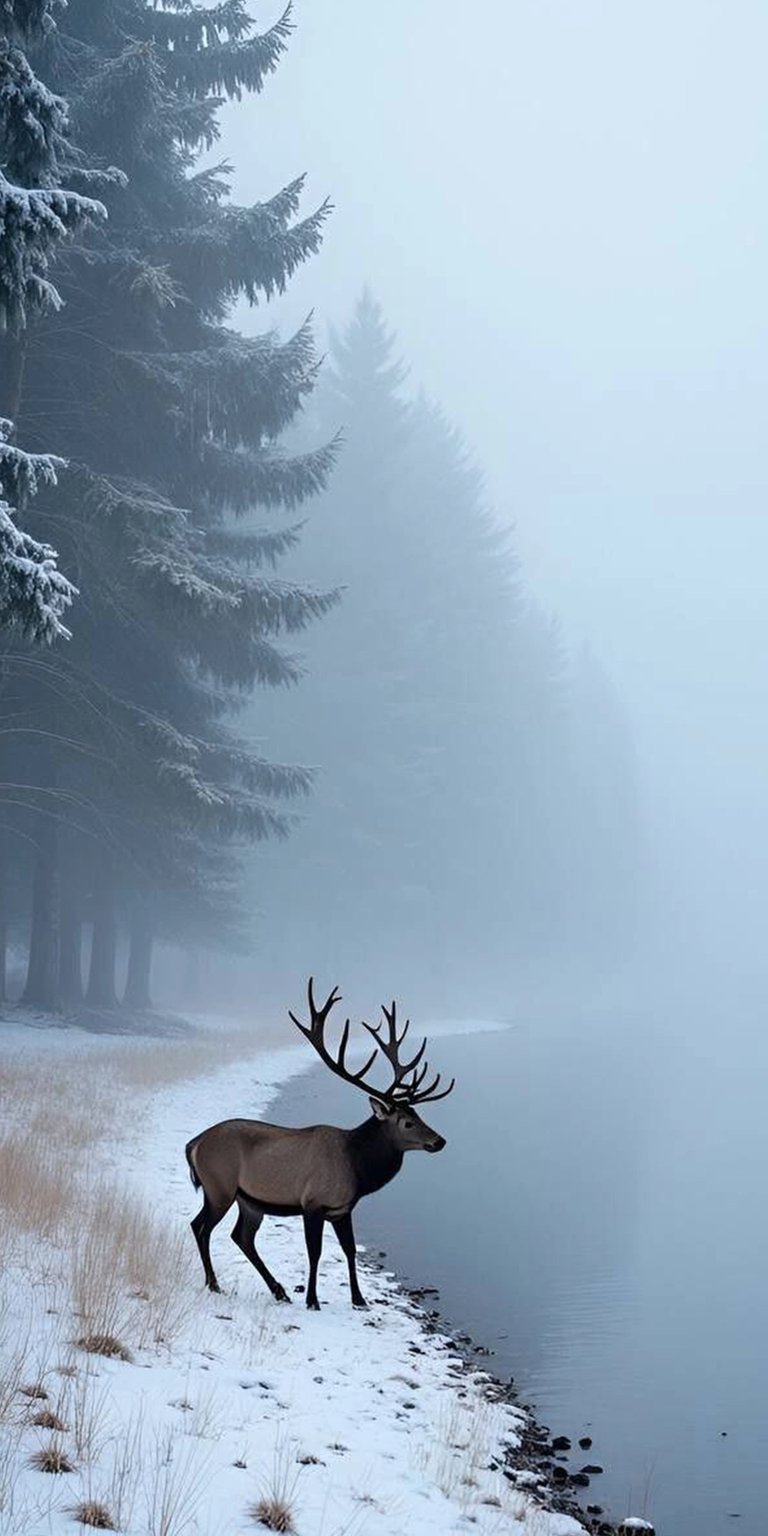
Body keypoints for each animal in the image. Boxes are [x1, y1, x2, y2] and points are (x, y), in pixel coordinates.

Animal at [185, 979, 454, 1310]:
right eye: (406, 1122)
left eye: (418, 1114)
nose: (439, 1140)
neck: (357, 1169)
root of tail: (193, 1145)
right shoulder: (312, 1202)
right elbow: (315, 1252)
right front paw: (313, 1299)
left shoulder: (342, 1209)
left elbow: (349, 1250)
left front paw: (359, 1299)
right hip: (219, 1187)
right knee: (201, 1227)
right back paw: (214, 1283)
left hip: (249, 1200)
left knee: (241, 1236)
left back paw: (279, 1290)